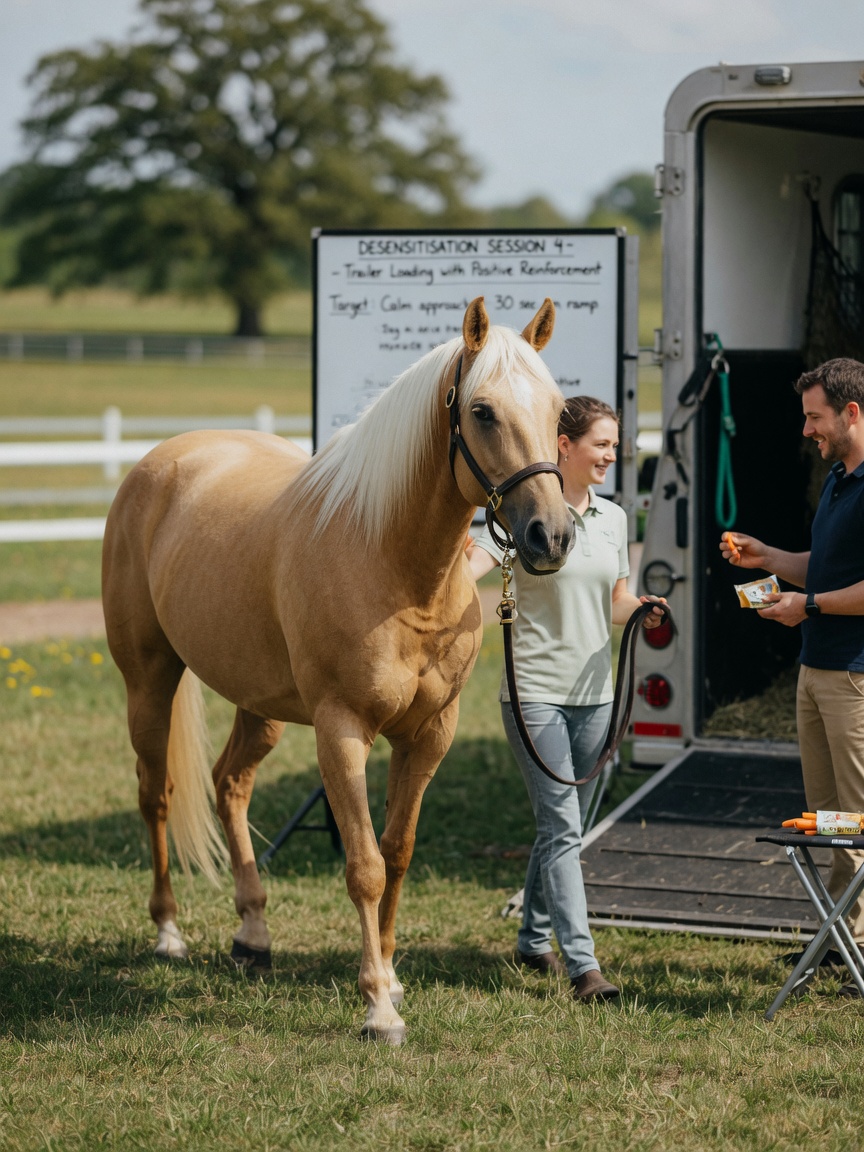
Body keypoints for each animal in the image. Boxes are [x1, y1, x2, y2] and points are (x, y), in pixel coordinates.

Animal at [102, 296, 574, 1044]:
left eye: (559, 411)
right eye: (482, 411)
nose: (550, 537)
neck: (393, 561)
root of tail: (161, 461)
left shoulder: (429, 735)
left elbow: (399, 851)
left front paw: (394, 975)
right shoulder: (342, 731)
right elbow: (365, 866)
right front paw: (378, 1005)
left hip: (259, 704)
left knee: (229, 784)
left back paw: (254, 935)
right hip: (149, 679)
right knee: (158, 795)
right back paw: (169, 932)